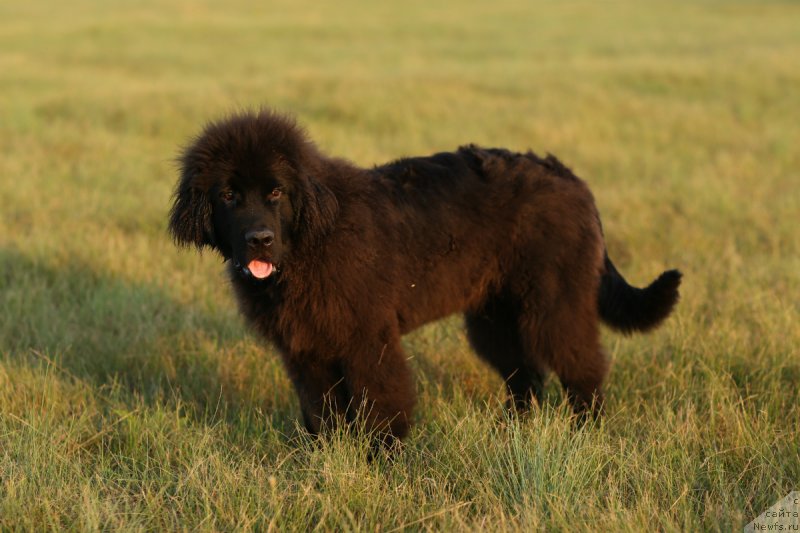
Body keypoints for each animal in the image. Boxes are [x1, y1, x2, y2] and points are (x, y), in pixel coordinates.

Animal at [169, 108, 680, 440]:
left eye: (275, 192)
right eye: (228, 195)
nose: (259, 239)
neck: (310, 241)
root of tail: (571, 178)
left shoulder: (367, 338)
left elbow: (382, 401)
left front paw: (385, 457)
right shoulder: (307, 350)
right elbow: (321, 410)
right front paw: (327, 457)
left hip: (555, 303)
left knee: (581, 365)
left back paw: (585, 428)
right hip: (494, 315)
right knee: (525, 374)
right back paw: (513, 429)